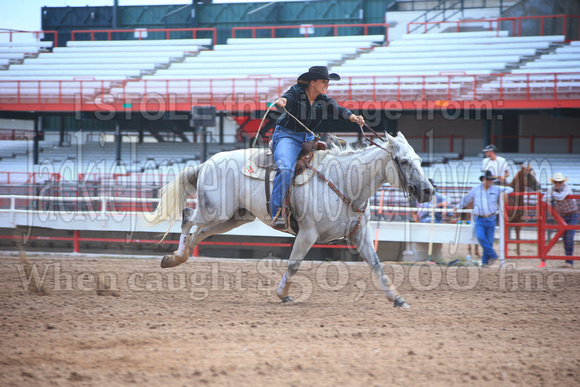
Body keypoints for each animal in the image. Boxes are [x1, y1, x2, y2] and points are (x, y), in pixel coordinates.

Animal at [147, 133, 432, 310]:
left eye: (419, 159)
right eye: (403, 161)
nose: (428, 191)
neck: (344, 182)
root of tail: (207, 161)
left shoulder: (360, 234)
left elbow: (377, 266)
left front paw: (397, 298)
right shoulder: (307, 233)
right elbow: (294, 263)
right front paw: (283, 294)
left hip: (233, 217)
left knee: (200, 233)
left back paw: (177, 257)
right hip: (215, 210)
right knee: (187, 217)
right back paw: (175, 257)